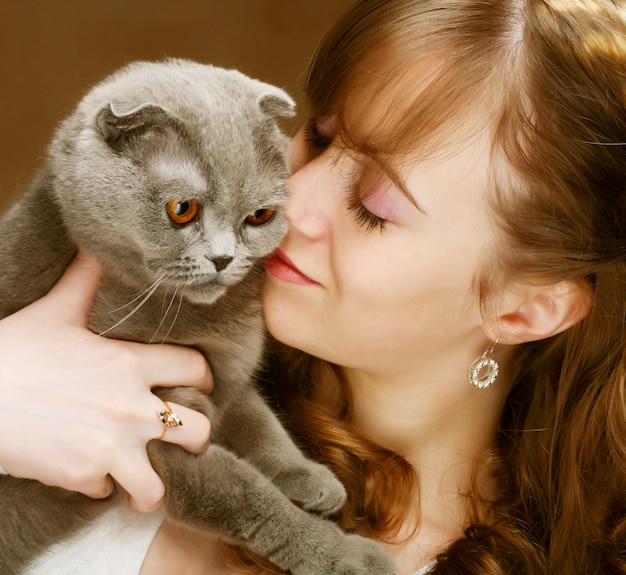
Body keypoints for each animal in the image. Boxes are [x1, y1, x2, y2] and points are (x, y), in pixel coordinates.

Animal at [0, 59, 394, 575]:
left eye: (260, 215)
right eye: (181, 209)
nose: (224, 258)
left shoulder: (227, 374)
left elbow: (261, 424)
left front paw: (310, 478)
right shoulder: (154, 434)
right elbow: (246, 496)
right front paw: (343, 554)